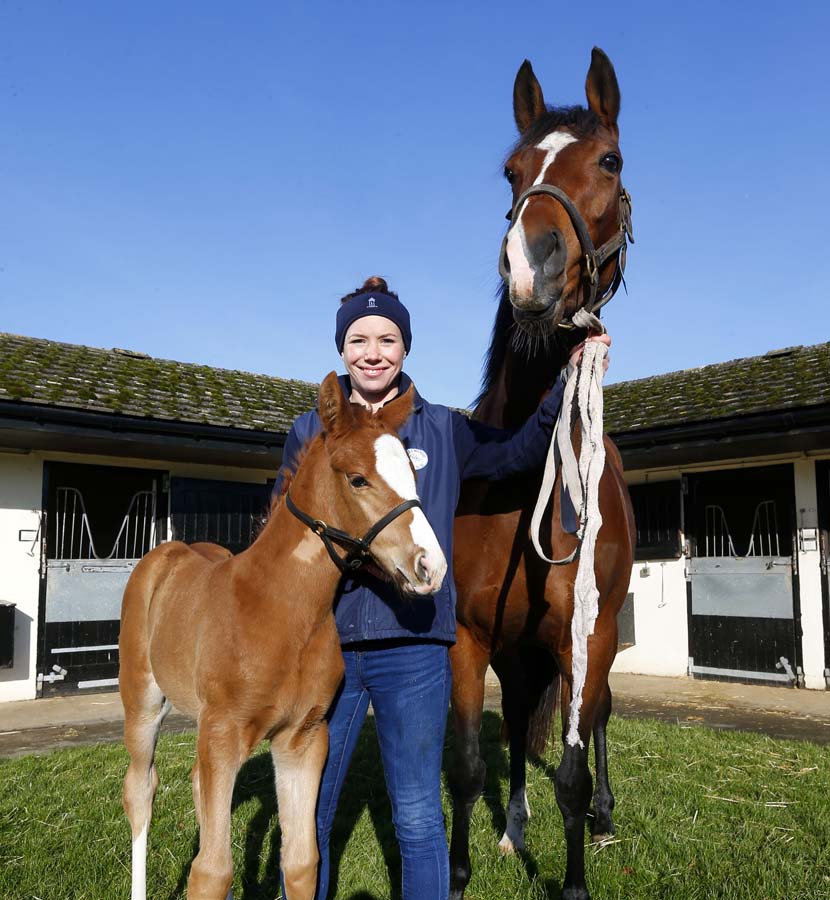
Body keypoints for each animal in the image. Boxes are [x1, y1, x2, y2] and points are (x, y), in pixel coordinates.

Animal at [119, 372, 447, 900]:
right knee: (140, 789)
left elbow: (300, 861)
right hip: (141, 701)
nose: (429, 566)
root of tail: (167, 552)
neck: (283, 612)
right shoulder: (223, 735)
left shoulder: (303, 740)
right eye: (358, 478)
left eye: (413, 477)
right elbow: (211, 872)